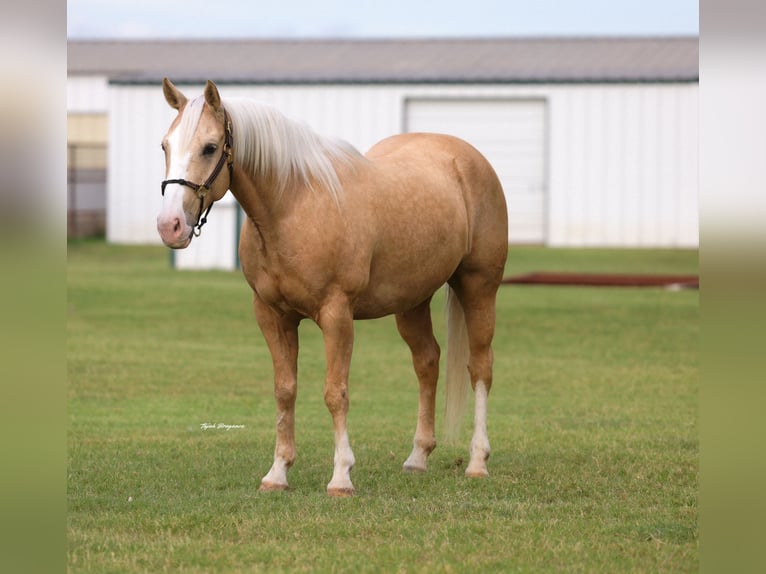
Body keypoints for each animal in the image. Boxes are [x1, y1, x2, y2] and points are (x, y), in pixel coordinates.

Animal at [157, 79, 508, 496]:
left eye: (210, 147)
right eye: (165, 145)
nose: (170, 225)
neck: (293, 206)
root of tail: (468, 158)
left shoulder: (336, 314)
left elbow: (335, 393)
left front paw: (341, 476)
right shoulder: (272, 316)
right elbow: (285, 390)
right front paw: (278, 472)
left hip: (479, 286)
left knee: (480, 367)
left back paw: (477, 461)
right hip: (412, 301)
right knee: (427, 363)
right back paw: (418, 457)